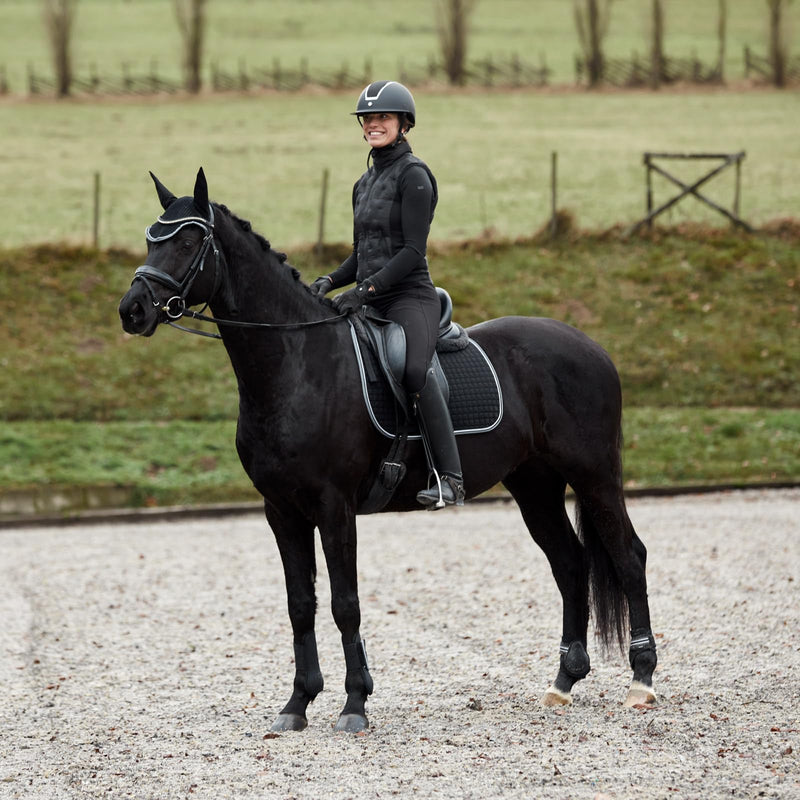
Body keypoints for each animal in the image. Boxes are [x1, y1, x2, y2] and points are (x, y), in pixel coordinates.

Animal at [118, 168, 657, 733]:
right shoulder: (281, 510)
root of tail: (590, 346)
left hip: (594, 476)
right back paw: (564, 681)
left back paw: (641, 681)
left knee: (629, 557)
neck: (298, 362)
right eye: (151, 238)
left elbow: (345, 604)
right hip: (535, 485)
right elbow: (300, 604)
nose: (132, 310)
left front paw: (355, 703)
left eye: (187, 240)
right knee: (570, 564)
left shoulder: (334, 506)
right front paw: (297, 703)